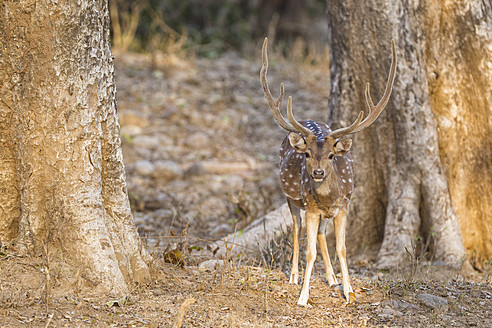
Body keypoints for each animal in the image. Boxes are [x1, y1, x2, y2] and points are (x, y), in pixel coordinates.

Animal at [260, 38, 398, 308]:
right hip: (292, 199)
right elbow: (309, 251)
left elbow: (342, 249)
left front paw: (349, 291)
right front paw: (303, 297)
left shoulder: (344, 207)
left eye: (332, 156)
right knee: (296, 230)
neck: (328, 198)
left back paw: (333, 279)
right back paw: (293, 276)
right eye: (306, 154)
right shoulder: (311, 208)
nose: (317, 172)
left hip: (325, 212)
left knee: (323, 235)